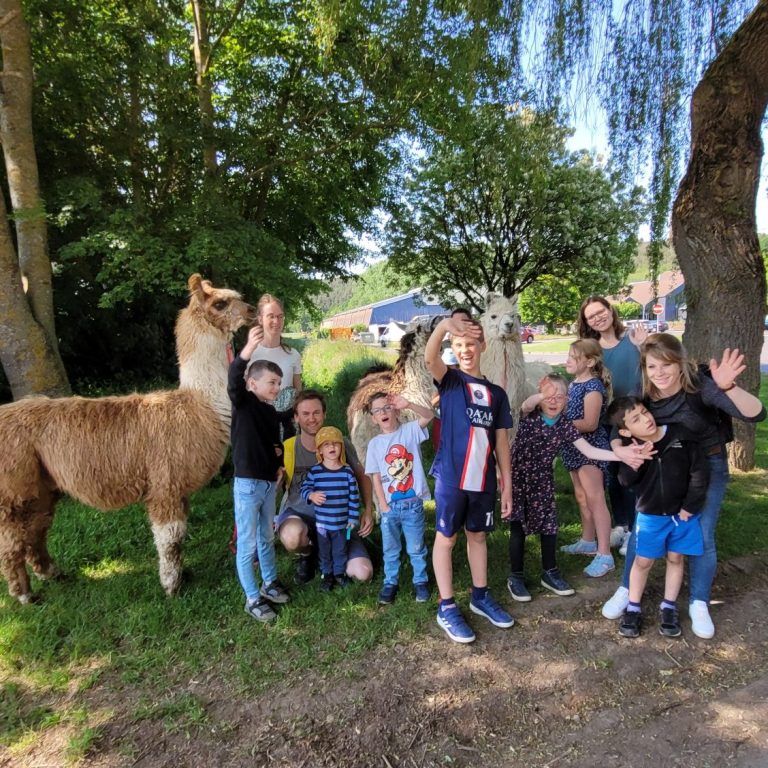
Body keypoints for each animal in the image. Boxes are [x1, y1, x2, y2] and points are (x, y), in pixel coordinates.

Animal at [0, 274, 256, 603]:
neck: (200, 406)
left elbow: (179, 538)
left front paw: (181, 575)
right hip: (14, 488)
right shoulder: (164, 484)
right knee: (12, 542)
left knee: (36, 530)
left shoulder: (177, 488)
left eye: (240, 297)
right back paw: (25, 596)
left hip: (41, 485)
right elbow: (171, 539)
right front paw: (171, 587)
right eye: (221, 303)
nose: (252, 310)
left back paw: (54, 574)